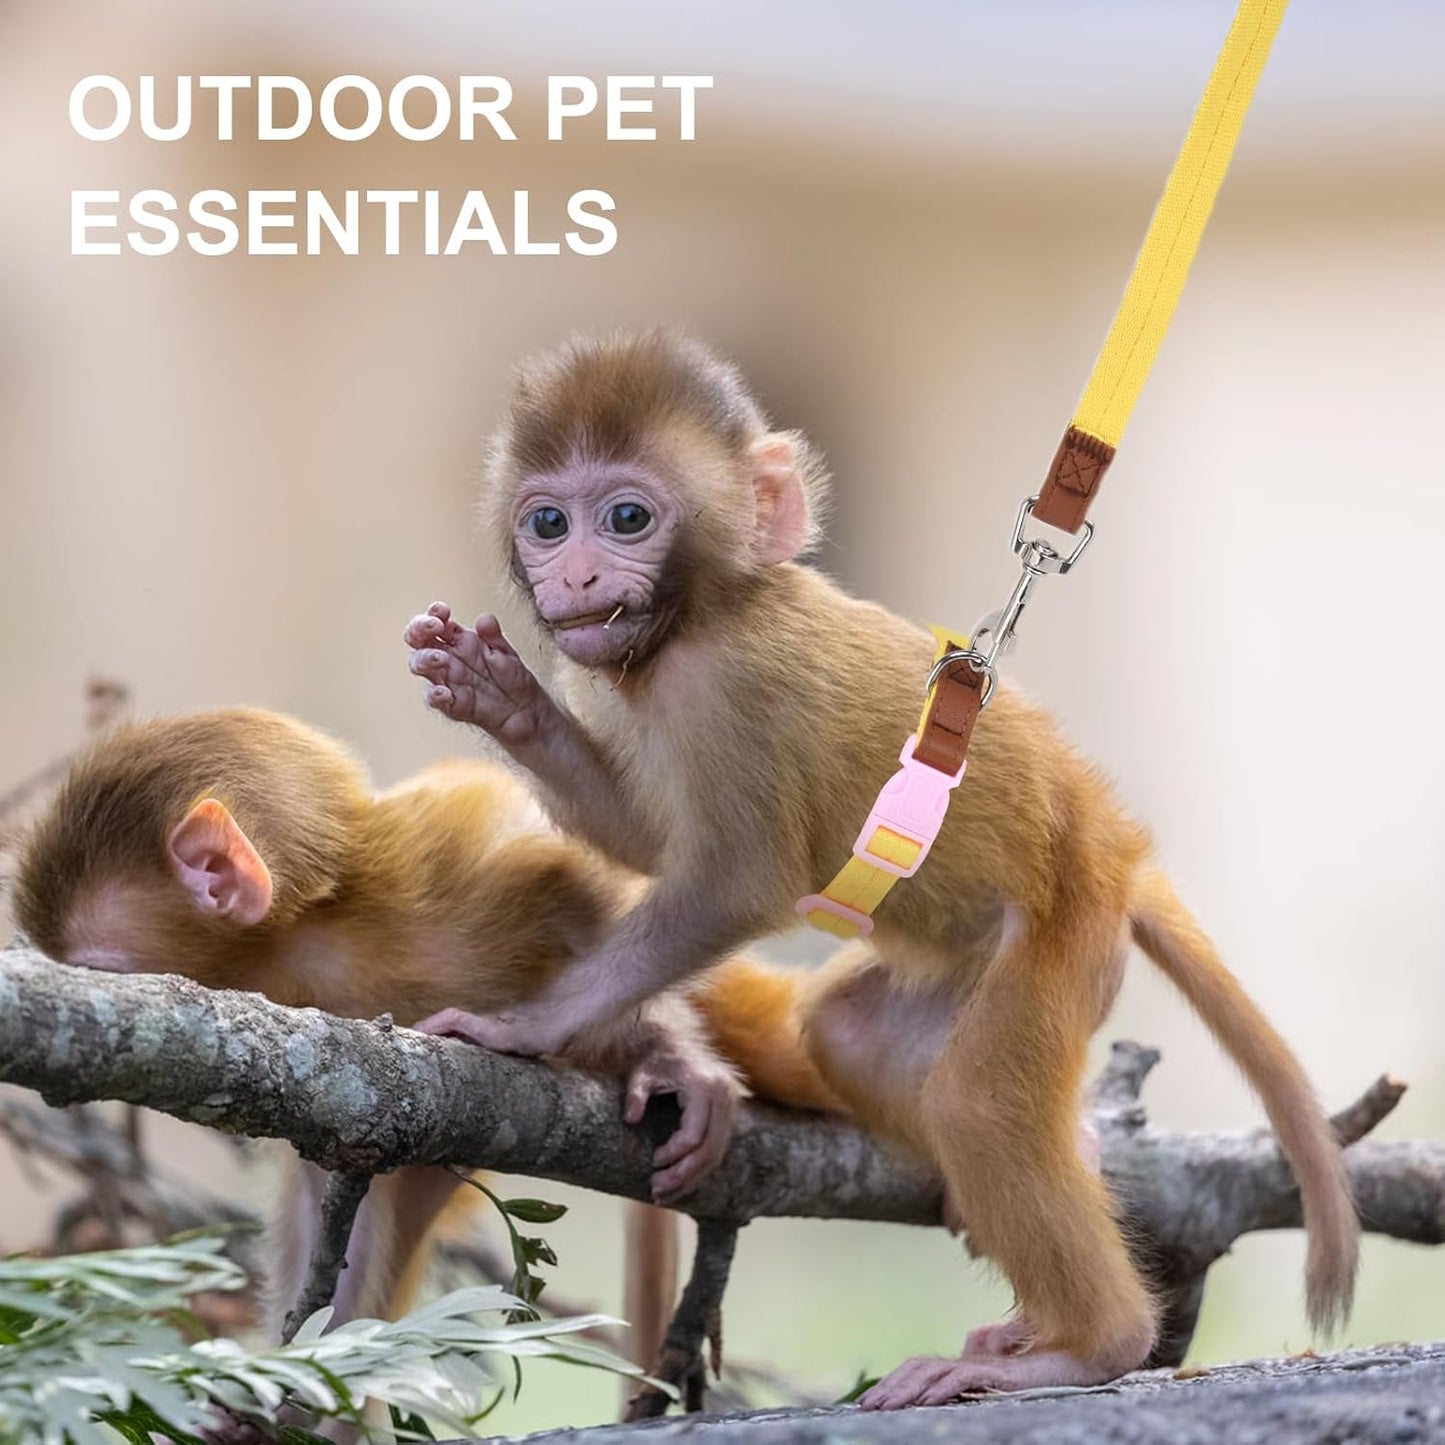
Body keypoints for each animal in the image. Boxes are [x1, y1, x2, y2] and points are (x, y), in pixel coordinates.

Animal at [11, 706, 839, 1368]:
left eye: (101, 972)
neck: (312, 942)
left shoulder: (445, 855)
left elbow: (596, 882)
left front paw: (672, 1055)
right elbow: (341, 1215)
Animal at [404, 329, 1359, 1407]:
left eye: (626, 517)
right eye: (548, 520)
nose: (569, 579)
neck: (703, 614)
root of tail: (1114, 847)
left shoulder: (731, 692)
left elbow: (733, 882)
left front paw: (524, 1026)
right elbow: (648, 842)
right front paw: (504, 700)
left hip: (1063, 936)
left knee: (977, 1103)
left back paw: (1087, 1343)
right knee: (852, 1036)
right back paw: (1057, 1192)